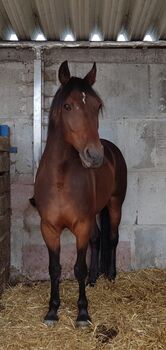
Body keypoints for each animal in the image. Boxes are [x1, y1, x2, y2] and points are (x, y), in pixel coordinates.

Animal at [30, 61, 127, 326]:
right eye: (67, 105)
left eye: (97, 106)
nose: (94, 155)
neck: (60, 181)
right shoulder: (49, 229)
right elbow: (55, 268)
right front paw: (52, 311)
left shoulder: (81, 226)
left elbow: (78, 268)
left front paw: (82, 313)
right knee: (97, 239)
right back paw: (94, 279)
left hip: (115, 204)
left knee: (112, 237)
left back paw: (110, 275)